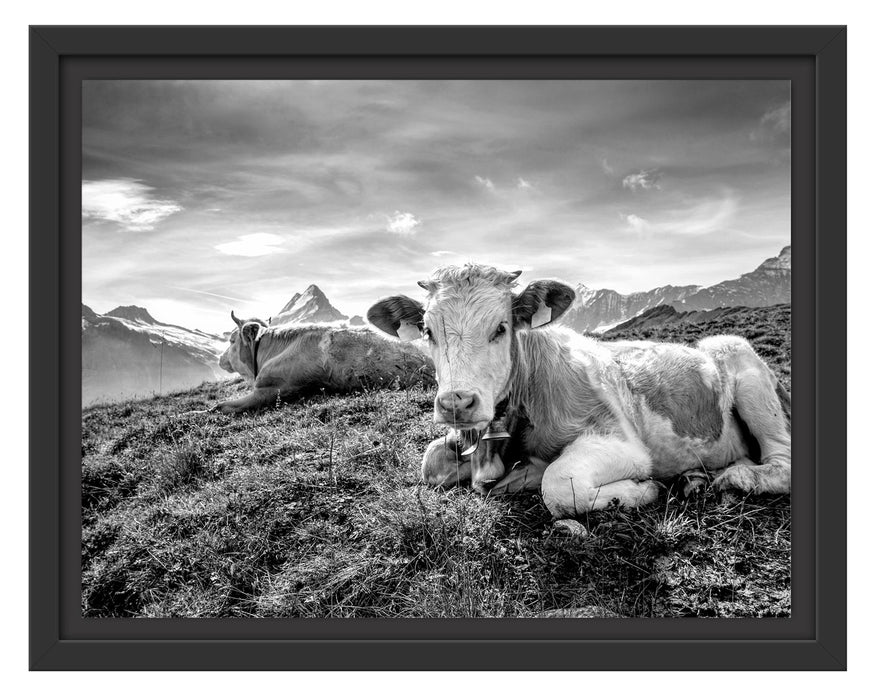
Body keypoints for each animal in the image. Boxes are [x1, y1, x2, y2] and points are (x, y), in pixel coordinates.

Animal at [368, 266, 796, 516]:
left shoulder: (622, 442)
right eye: (427, 331)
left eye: (501, 328)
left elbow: (559, 484)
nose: (457, 402)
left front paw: (642, 490)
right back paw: (699, 478)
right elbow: (431, 462)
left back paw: (736, 478)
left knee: (782, 462)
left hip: (741, 363)